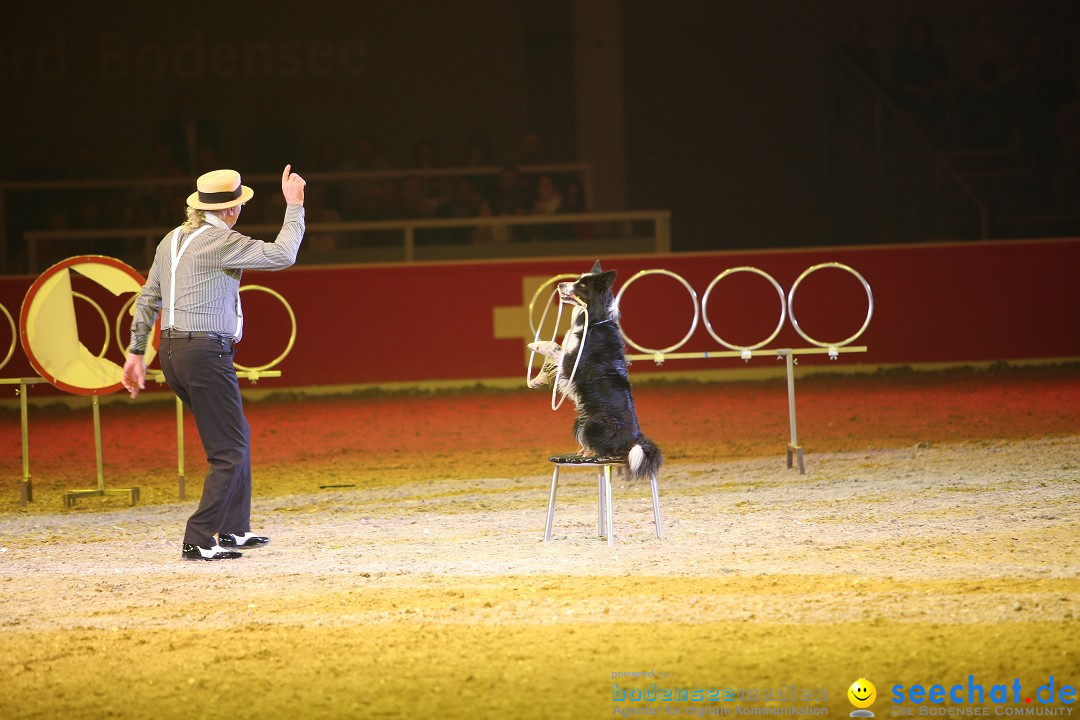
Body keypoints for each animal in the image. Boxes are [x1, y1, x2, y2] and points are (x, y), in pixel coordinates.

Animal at [529, 262, 660, 481]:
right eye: (577, 279)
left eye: (582, 285)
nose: (560, 284)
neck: (593, 320)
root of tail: (635, 440)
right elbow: (552, 362)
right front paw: (537, 380)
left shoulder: (574, 364)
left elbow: (555, 348)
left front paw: (536, 345)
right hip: (581, 419)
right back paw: (586, 450)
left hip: (594, 422)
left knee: (606, 450)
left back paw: (592, 452)